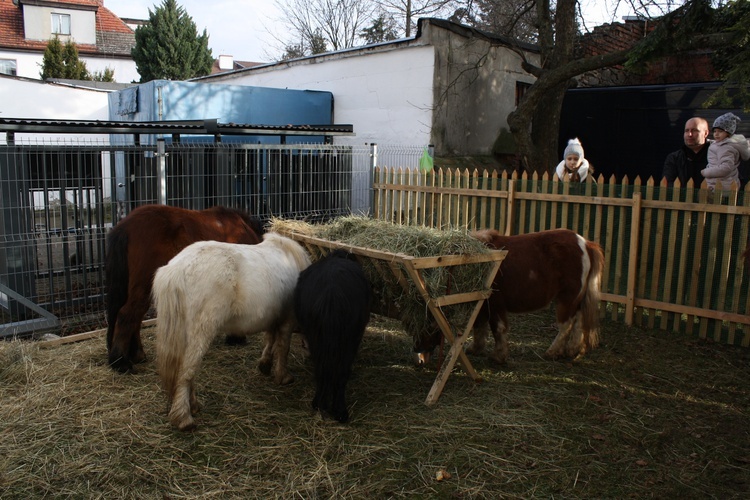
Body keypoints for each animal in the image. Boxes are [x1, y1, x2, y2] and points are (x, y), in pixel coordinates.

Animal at [105, 203, 264, 372]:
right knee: (127, 315)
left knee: (134, 318)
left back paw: (136, 355)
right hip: (144, 286)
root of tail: (126, 226)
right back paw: (120, 362)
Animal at [153, 231, 312, 430]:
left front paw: (265, 364)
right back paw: (184, 418)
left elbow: (270, 340)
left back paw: (193, 406)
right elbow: (283, 347)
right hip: (201, 333)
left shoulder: (273, 318)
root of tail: (176, 268)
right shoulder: (287, 320)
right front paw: (283, 376)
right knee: (186, 371)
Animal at [296, 249, 374, 422]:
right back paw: (339, 411)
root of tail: (332, 294)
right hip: (350, 339)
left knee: (321, 369)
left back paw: (319, 403)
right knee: (341, 372)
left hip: (316, 336)